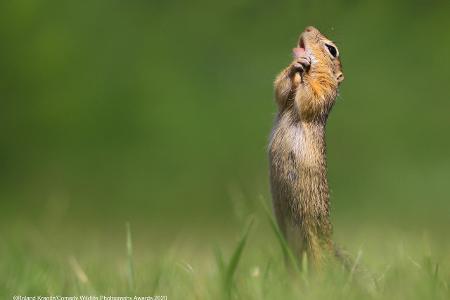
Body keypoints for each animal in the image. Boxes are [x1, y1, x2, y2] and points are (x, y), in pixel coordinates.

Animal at [270, 26, 344, 270]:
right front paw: (295, 65)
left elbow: (310, 97)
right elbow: (281, 90)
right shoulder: (284, 99)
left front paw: (303, 66)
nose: (309, 28)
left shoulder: (324, 92)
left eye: (332, 50)